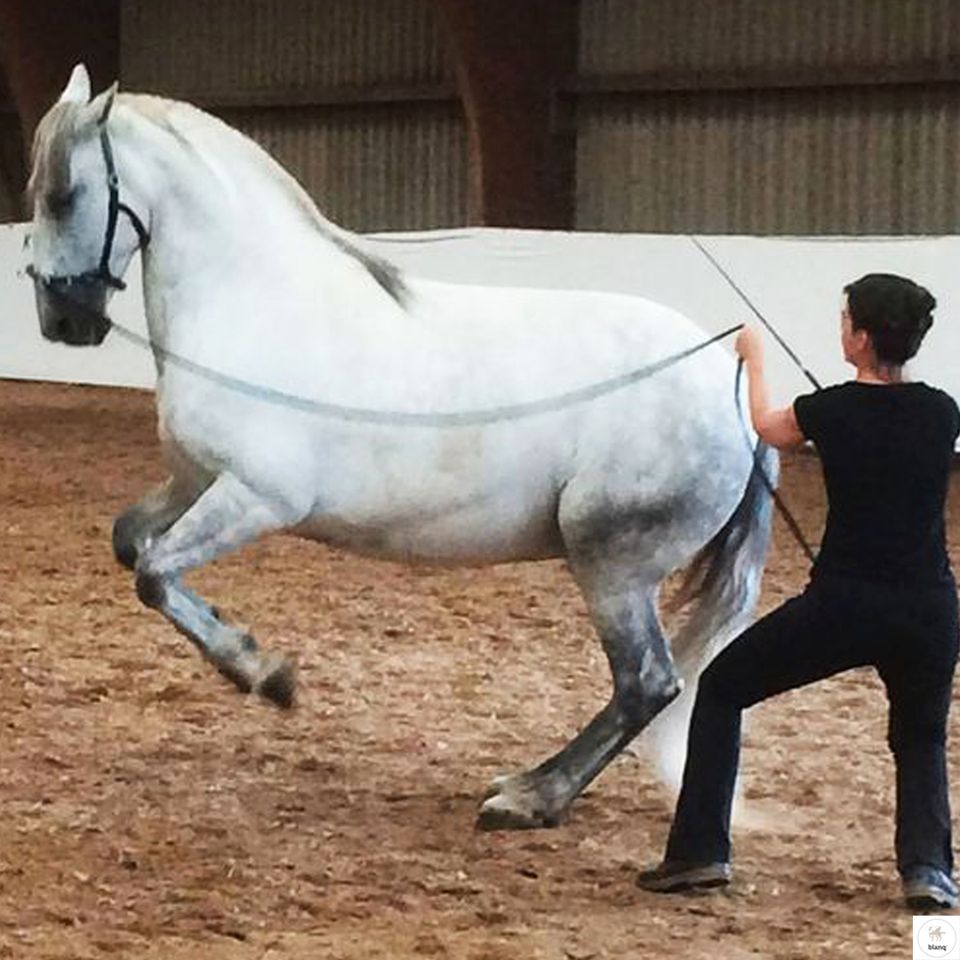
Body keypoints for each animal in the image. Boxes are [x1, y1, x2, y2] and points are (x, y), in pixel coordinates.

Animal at [28, 65, 780, 832]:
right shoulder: (192, 482)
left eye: (63, 194)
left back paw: (530, 797)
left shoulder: (257, 498)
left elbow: (153, 573)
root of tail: (733, 386)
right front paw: (253, 658)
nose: (62, 321)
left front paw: (266, 676)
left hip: (613, 565)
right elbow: (132, 544)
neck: (253, 303)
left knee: (647, 684)